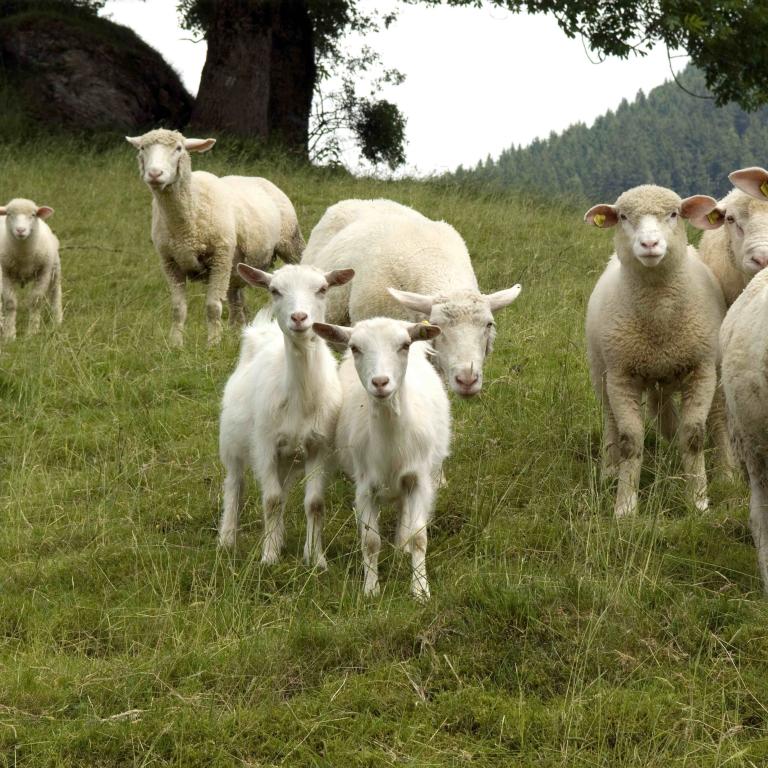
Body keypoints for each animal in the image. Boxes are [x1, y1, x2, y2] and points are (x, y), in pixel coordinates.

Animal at [0, 198, 62, 339]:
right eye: (9, 214)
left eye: (33, 215)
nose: (20, 230)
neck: (24, 256)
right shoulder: (5, 273)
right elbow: (10, 303)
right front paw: (9, 334)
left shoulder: (44, 272)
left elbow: (36, 301)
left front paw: (32, 332)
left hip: (55, 269)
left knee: (55, 292)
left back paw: (57, 320)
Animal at [125, 129, 305, 347]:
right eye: (143, 148)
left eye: (179, 148)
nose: (154, 174)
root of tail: (258, 179)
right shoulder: (170, 263)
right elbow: (178, 308)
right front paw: (176, 344)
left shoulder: (219, 258)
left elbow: (213, 306)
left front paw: (212, 343)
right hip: (235, 266)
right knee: (236, 301)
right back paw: (237, 332)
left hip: (290, 243)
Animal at [218, 262, 354, 568]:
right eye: (274, 290)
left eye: (323, 289)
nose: (299, 317)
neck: (300, 397)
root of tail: (261, 333)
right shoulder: (265, 444)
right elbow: (270, 500)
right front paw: (268, 557)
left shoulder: (319, 447)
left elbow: (314, 503)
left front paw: (316, 558)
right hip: (232, 443)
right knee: (235, 484)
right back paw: (227, 539)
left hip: (288, 460)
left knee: (281, 490)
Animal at [313, 317, 450, 600]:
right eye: (355, 347)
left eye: (404, 345)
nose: (380, 382)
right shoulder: (365, 486)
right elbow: (370, 541)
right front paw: (371, 589)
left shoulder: (418, 478)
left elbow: (419, 537)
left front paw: (420, 590)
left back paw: (401, 548)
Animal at [584, 184, 730, 518]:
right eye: (624, 217)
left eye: (674, 214)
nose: (649, 244)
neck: (659, 313)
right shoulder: (621, 374)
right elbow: (630, 440)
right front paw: (625, 506)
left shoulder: (702, 369)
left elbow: (693, 435)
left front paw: (699, 501)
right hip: (602, 372)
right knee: (611, 421)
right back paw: (609, 471)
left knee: (695, 417)